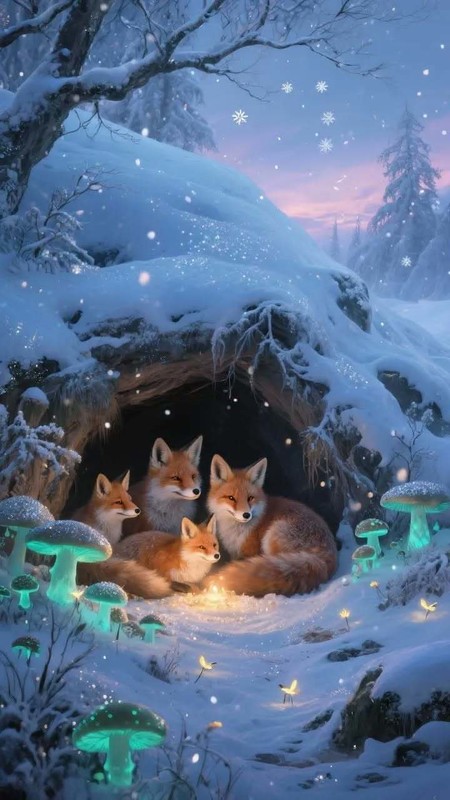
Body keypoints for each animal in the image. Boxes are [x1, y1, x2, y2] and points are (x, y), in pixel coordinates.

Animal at [204, 454, 338, 597]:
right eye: (231, 498)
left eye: (250, 498)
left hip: (272, 536)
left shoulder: (249, 551)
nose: (246, 515)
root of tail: (323, 559)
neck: (236, 530)